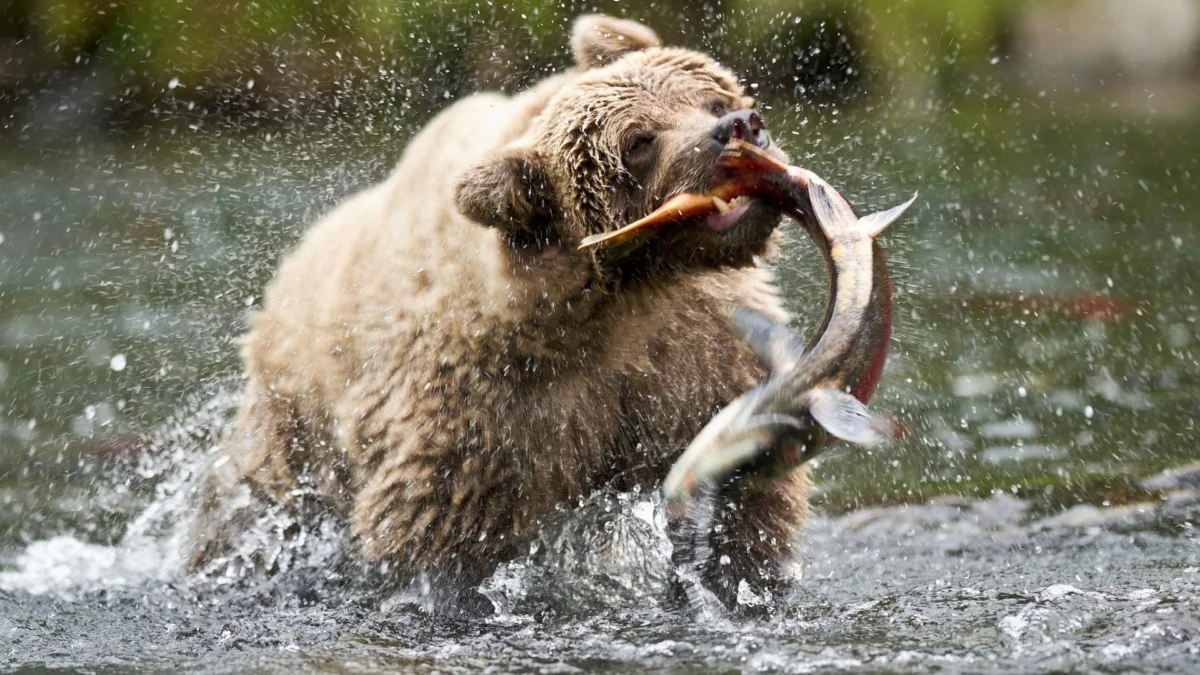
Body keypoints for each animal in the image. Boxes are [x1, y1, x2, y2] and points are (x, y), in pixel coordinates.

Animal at [191, 14, 811, 610]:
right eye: (638, 141)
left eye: (712, 98)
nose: (740, 125)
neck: (618, 303)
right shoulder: (483, 413)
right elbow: (432, 534)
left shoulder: (701, 352)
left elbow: (753, 492)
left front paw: (741, 575)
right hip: (293, 424)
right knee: (247, 508)